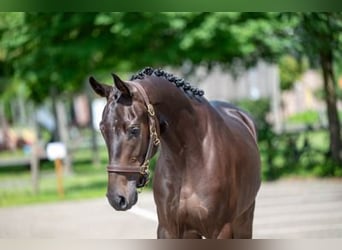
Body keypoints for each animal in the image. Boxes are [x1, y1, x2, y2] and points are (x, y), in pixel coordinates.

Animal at [89, 66, 260, 238]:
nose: (117, 198)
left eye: (134, 129)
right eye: (102, 129)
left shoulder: (221, 230)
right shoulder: (168, 228)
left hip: (244, 220)